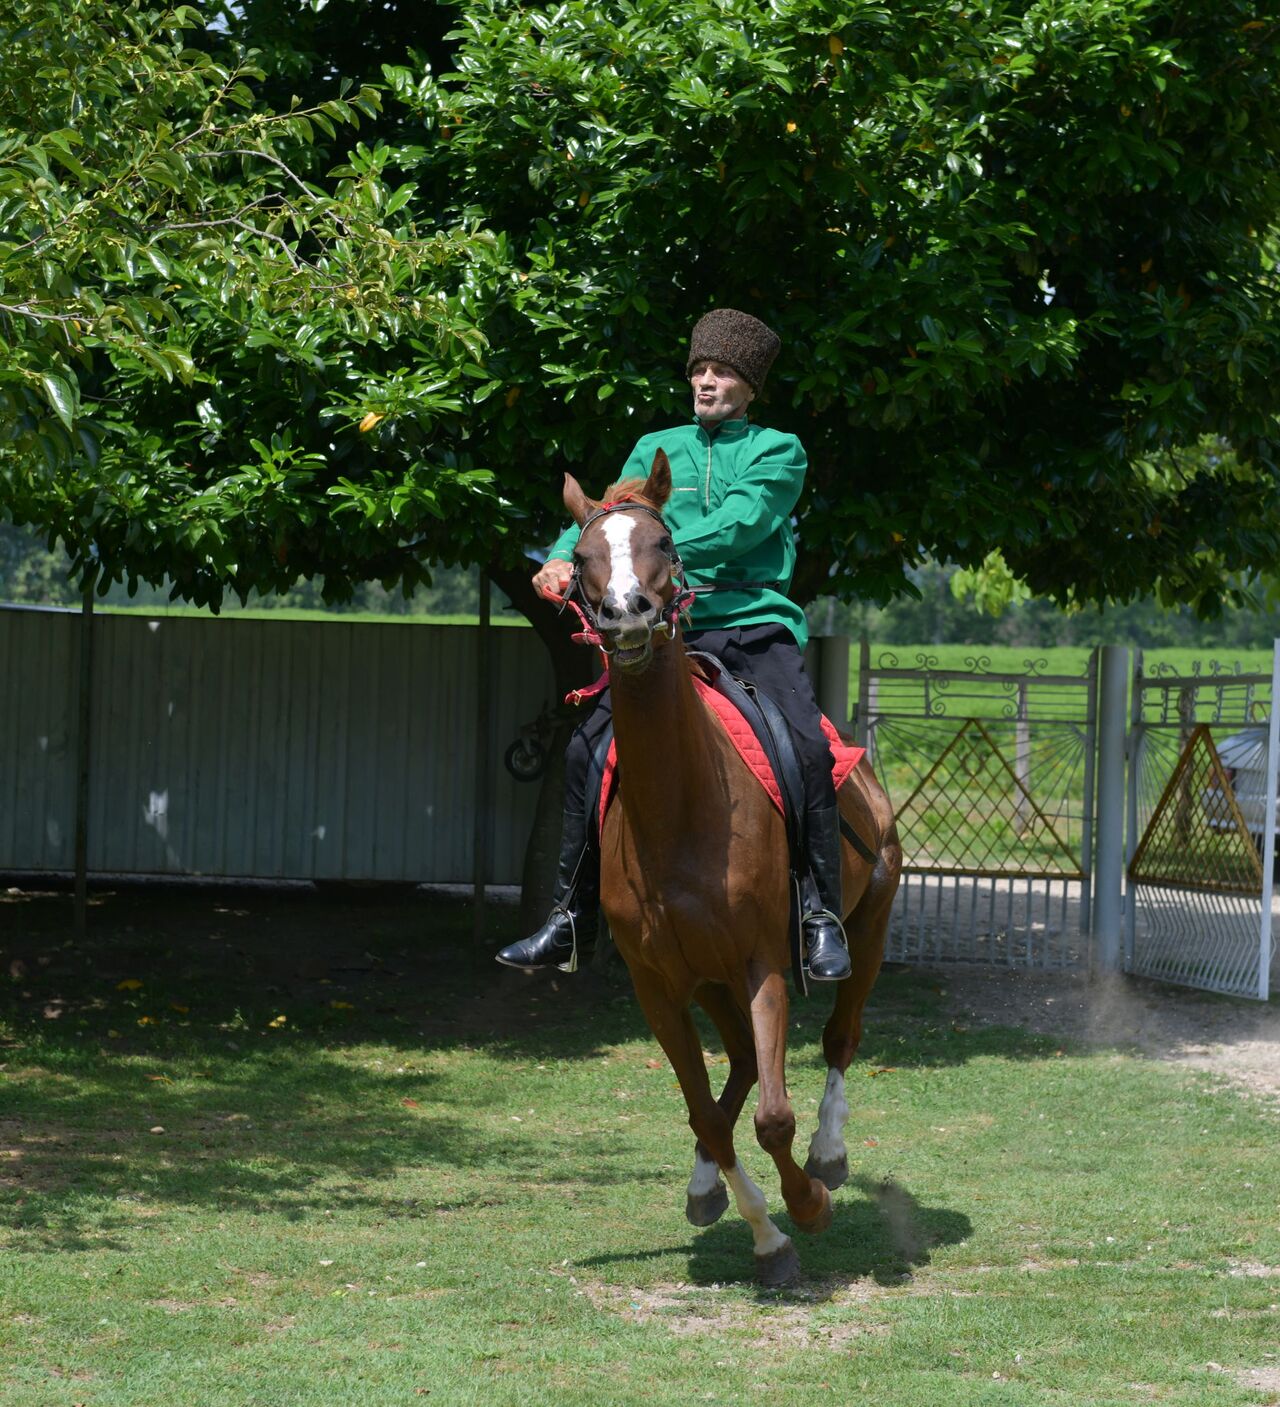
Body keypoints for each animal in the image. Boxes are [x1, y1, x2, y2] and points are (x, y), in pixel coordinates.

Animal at [565, 450, 905, 1288]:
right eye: (582, 556)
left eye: (663, 541)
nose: (625, 613)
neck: (682, 809)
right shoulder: (659, 985)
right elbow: (710, 1116)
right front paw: (764, 1232)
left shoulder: (761, 963)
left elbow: (774, 1116)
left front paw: (807, 1203)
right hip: (710, 981)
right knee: (743, 1070)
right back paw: (708, 1185)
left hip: (869, 925)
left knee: (840, 1038)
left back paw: (830, 1153)